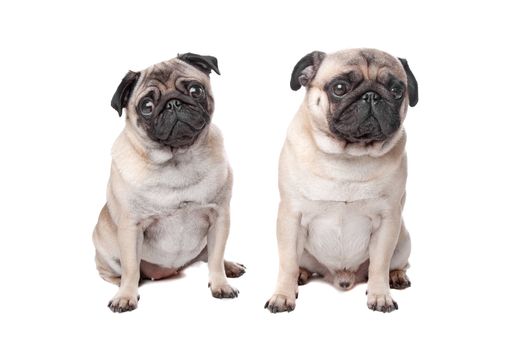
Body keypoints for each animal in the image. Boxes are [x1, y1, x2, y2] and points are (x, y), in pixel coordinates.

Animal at [93, 52, 245, 312]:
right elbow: (131, 267)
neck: (178, 160)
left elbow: (215, 258)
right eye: (147, 107)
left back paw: (230, 267)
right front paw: (126, 295)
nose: (173, 103)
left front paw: (220, 284)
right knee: (118, 271)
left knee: (209, 255)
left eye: (195, 90)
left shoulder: (219, 217)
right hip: (106, 249)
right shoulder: (131, 227)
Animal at [266, 47, 418, 314]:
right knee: (299, 264)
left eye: (396, 90)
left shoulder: (388, 221)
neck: (348, 156)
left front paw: (380, 296)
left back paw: (396, 276)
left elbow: (379, 264)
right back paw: (301, 275)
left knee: (395, 263)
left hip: (402, 240)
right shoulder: (290, 217)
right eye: (339, 88)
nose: (371, 95)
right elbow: (287, 263)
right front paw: (283, 295)